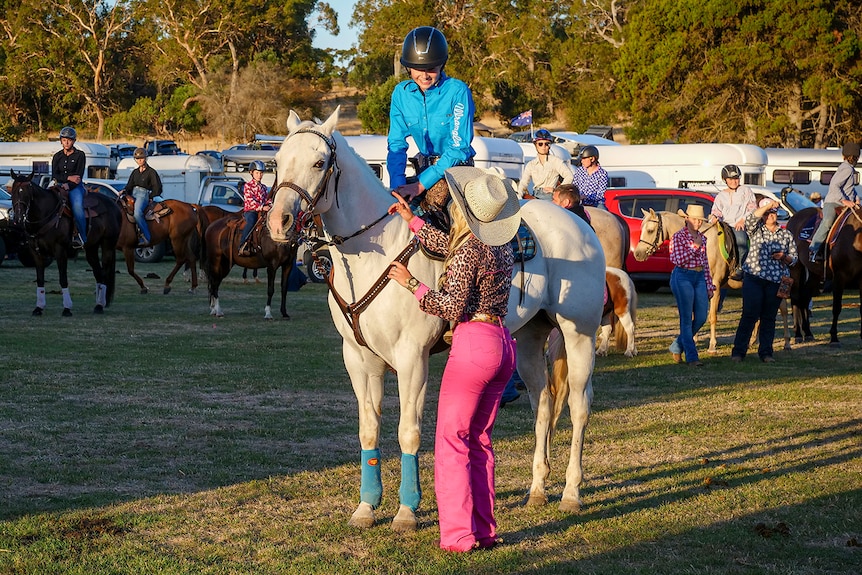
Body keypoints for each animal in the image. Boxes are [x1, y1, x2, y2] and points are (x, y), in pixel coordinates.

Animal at [9, 170, 121, 315]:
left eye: (27, 192)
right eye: (13, 191)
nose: (17, 217)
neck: (45, 215)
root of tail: (114, 204)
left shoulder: (60, 251)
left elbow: (63, 278)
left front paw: (67, 308)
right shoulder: (36, 253)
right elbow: (40, 279)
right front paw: (39, 307)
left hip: (108, 245)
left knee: (105, 271)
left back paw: (100, 305)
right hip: (91, 248)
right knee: (98, 273)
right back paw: (98, 304)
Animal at [266, 109, 605, 530]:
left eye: (318, 163)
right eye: (277, 162)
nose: (279, 222)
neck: (378, 251)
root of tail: (578, 224)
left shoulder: (412, 358)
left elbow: (408, 432)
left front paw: (407, 511)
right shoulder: (359, 359)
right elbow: (369, 430)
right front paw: (366, 507)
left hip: (579, 335)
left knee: (578, 404)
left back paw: (571, 493)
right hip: (529, 338)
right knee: (542, 402)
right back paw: (538, 489)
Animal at [634, 209, 790, 353]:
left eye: (650, 230)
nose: (637, 254)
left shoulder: (715, 285)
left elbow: (712, 316)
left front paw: (712, 345)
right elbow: (694, 313)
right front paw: (693, 339)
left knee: (783, 310)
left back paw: (787, 343)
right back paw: (753, 341)